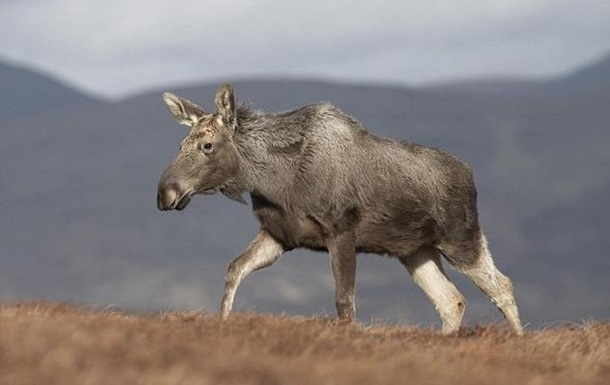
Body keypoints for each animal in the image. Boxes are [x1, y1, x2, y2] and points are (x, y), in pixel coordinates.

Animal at [157, 83, 524, 332]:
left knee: (501, 286)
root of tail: (470, 175)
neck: (272, 179)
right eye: (181, 144)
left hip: (461, 238)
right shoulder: (280, 235)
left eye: (207, 145)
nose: (165, 193)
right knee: (452, 301)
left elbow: (344, 303)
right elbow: (234, 269)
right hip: (416, 250)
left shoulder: (342, 232)